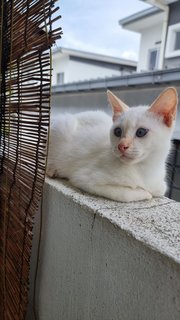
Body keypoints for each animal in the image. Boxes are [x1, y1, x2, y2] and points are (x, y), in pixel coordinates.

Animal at [46, 87, 177, 201]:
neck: (143, 169)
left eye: (141, 132)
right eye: (117, 131)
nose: (121, 146)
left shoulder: (160, 185)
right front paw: (144, 193)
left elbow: (159, 190)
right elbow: (127, 194)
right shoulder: (84, 178)